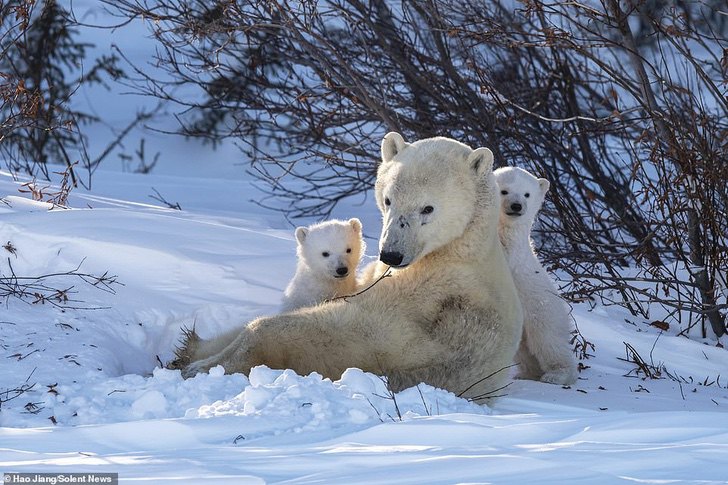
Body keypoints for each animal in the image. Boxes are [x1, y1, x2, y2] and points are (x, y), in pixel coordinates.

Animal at [173, 132, 520, 400]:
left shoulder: (429, 304)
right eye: (389, 199)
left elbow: (344, 325)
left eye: (428, 208)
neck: (458, 248)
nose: (391, 255)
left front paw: (204, 363)